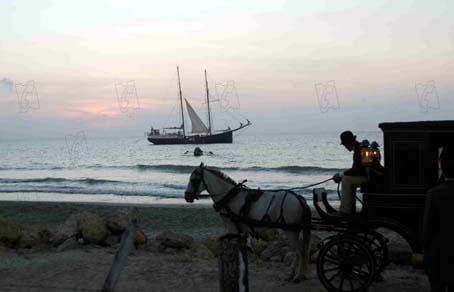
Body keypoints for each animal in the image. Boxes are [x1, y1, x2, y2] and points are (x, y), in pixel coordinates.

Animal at [184, 163, 312, 282]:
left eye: (193, 179)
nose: (187, 196)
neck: (230, 197)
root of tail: (300, 199)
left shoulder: (232, 228)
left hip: (290, 231)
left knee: (300, 251)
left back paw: (297, 276)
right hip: (294, 231)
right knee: (299, 251)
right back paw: (294, 274)